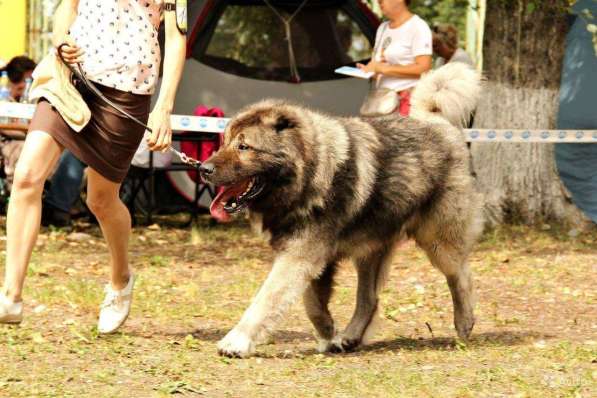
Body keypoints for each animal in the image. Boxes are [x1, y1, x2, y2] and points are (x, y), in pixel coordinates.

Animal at [203, 63, 482, 358]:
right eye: (224, 142)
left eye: (244, 147)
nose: (204, 169)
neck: (309, 172)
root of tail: (437, 122)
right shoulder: (311, 257)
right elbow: (312, 302)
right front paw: (327, 333)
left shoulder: (299, 256)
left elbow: (267, 298)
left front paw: (237, 340)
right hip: (371, 249)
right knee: (369, 299)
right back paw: (350, 337)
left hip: (438, 242)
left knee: (461, 276)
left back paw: (464, 323)